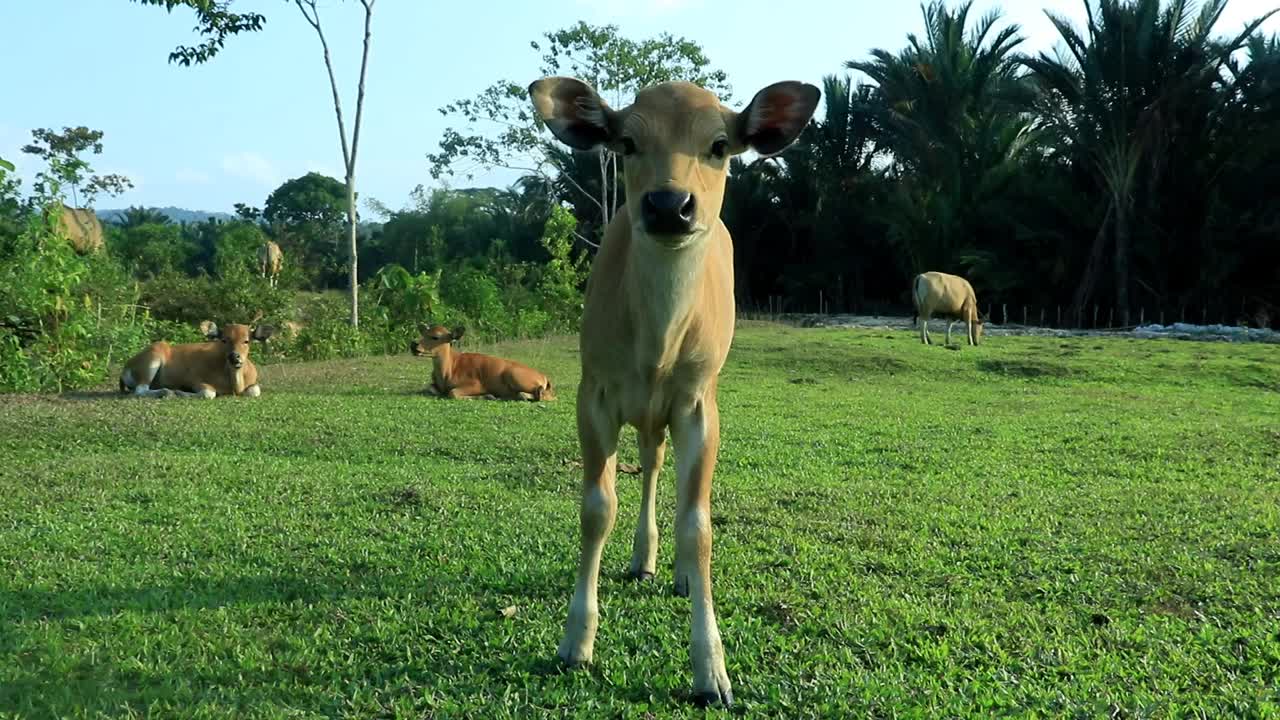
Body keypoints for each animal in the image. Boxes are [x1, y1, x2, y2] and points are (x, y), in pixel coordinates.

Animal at [120, 320, 275, 397]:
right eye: (224, 340)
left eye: (246, 341)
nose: (234, 356)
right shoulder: (195, 381)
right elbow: (209, 393)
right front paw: (180, 392)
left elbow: (255, 391)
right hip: (153, 357)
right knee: (140, 390)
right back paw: (167, 392)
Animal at [407, 324, 552, 399]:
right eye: (423, 333)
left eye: (435, 337)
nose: (414, 344)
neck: (449, 370)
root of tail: (544, 377)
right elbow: (430, 388)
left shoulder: (476, 384)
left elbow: (452, 393)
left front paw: (488, 396)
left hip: (514, 375)